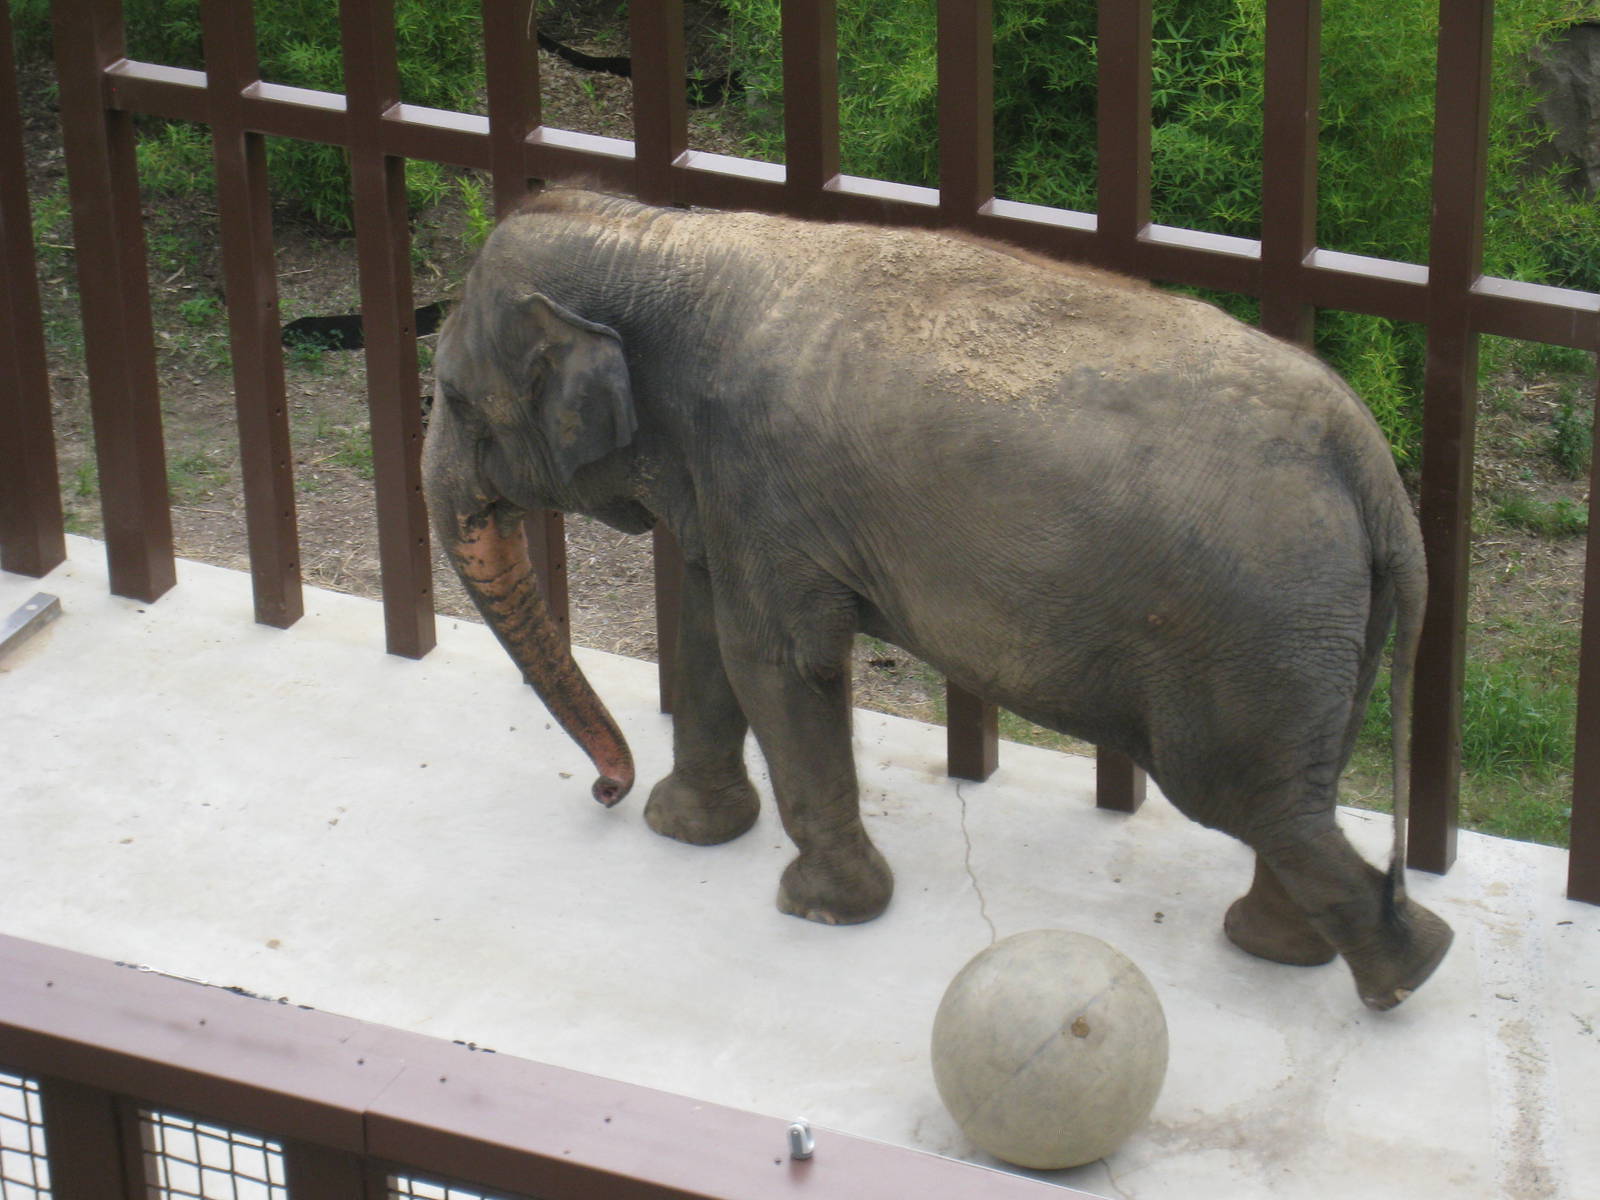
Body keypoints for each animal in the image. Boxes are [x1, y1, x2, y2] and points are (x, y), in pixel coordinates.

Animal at [424, 185, 1453, 1011]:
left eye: (458, 402)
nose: (606, 790)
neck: (661, 240)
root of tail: (1369, 466)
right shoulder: (730, 489)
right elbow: (711, 629)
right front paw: (685, 834)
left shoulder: (763, 481)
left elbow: (774, 659)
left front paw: (821, 911)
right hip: (1328, 628)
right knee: (1298, 797)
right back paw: (1297, 952)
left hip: (1252, 634)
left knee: (1245, 797)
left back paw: (1401, 975)